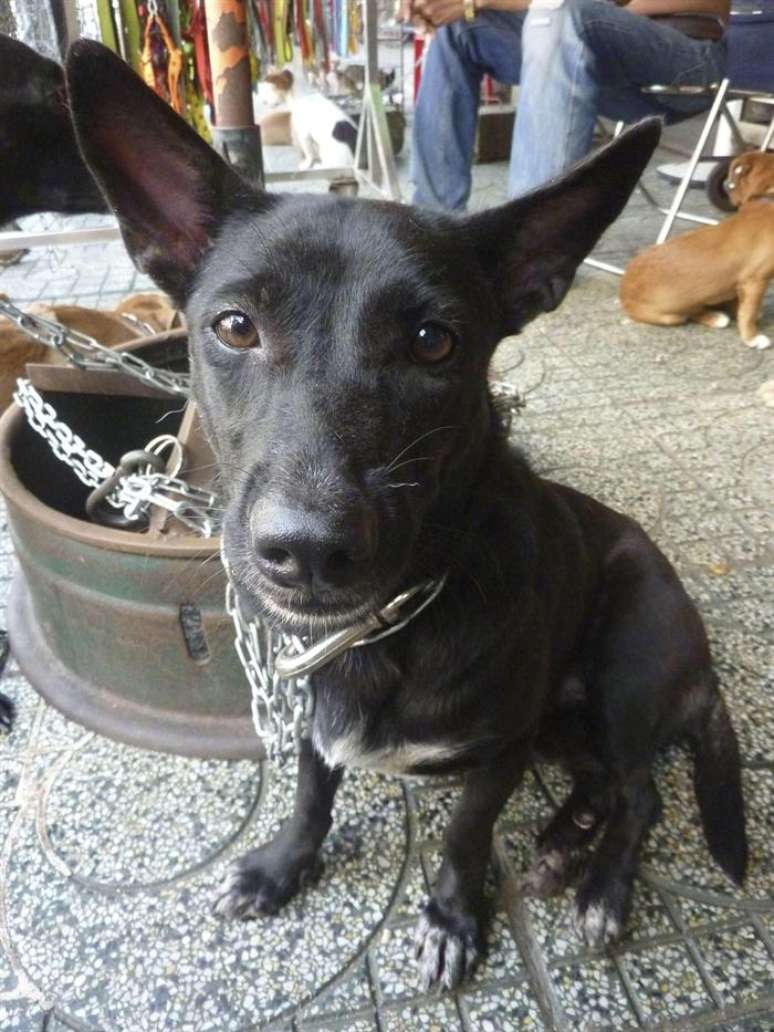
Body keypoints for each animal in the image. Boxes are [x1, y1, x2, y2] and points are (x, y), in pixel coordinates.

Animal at [65, 42, 747, 990]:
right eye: (234, 327)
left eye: (433, 342)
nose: (306, 551)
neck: (381, 633)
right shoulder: (313, 724)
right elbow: (311, 796)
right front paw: (283, 867)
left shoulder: (498, 753)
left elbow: (463, 838)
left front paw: (454, 919)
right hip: (562, 727)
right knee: (606, 782)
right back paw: (563, 837)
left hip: (622, 671)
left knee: (641, 791)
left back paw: (603, 887)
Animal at [623, 149, 774, 350]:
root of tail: (623, 293)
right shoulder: (755, 280)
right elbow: (747, 313)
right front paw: (752, 338)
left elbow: (739, 305)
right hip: (670, 316)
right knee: (689, 313)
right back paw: (714, 317)